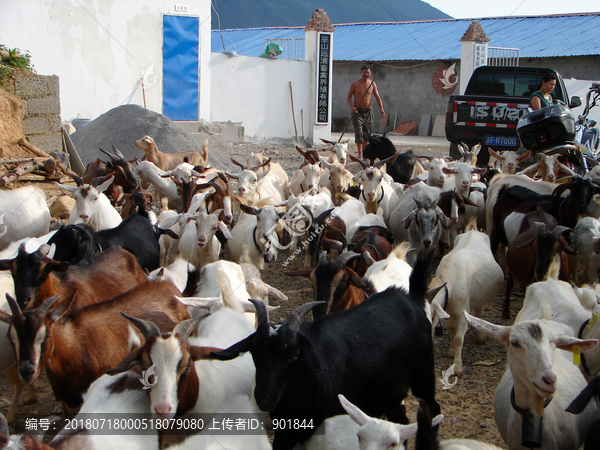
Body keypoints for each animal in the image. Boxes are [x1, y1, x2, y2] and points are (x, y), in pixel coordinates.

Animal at [211, 256, 440, 450]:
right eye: (254, 353)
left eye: (295, 355)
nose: (264, 397)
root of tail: (411, 298)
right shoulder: (286, 430)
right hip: (391, 392)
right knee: (401, 418)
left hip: (424, 377)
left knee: (433, 409)